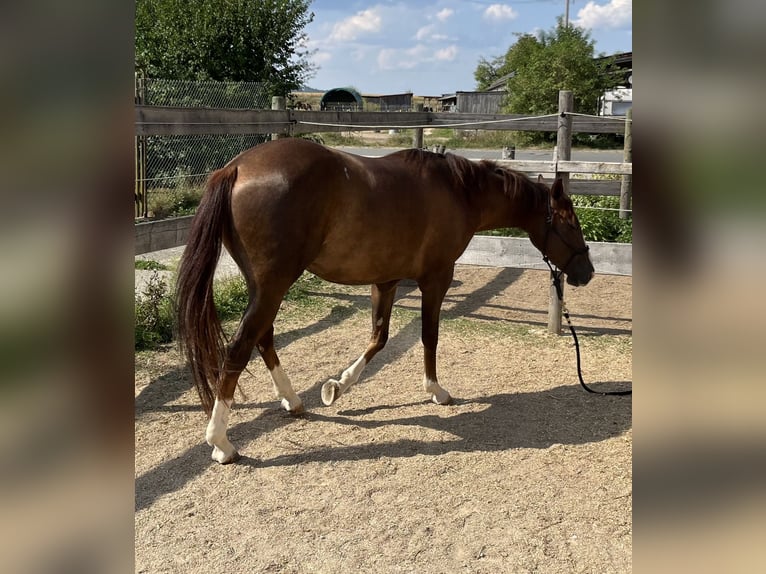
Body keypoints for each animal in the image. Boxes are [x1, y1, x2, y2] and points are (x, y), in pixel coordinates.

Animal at [176, 138, 592, 464]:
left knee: (263, 339)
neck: (458, 191)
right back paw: (221, 443)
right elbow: (429, 336)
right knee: (239, 349)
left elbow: (379, 339)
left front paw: (337, 386)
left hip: (264, 287)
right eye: (571, 223)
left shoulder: (386, 280)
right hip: (273, 286)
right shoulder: (436, 279)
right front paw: (436, 391)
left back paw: (293, 401)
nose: (586, 272)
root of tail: (235, 168)